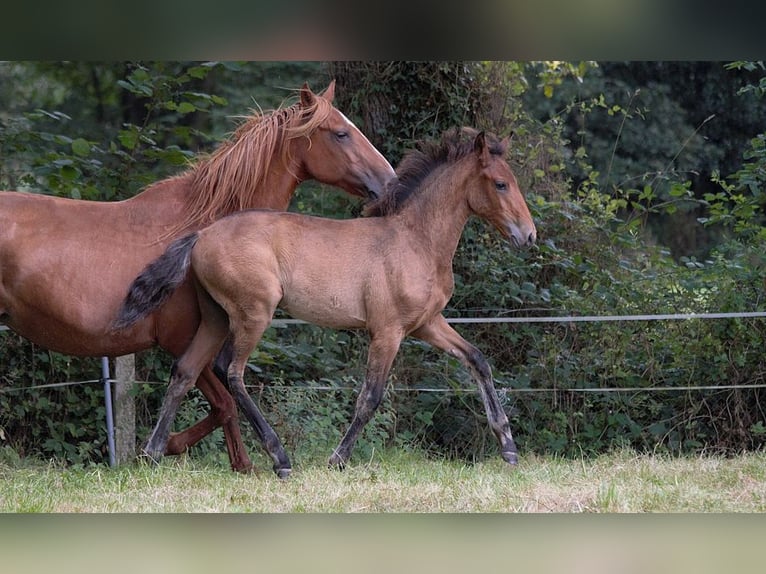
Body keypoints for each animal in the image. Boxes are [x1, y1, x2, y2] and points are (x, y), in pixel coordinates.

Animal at [0, 82, 396, 476]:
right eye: (341, 133)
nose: (390, 181)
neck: (206, 226)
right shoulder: (183, 338)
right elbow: (222, 401)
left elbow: (217, 401)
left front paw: (228, 461)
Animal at [114, 129, 536, 476]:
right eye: (501, 183)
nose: (529, 235)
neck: (415, 241)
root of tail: (202, 234)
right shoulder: (387, 332)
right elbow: (370, 397)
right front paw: (338, 459)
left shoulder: (427, 325)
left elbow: (478, 360)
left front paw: (509, 448)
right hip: (254, 313)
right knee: (231, 371)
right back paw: (280, 459)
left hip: (216, 317)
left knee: (184, 371)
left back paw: (153, 453)